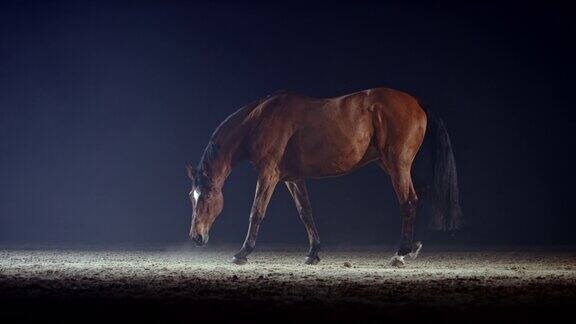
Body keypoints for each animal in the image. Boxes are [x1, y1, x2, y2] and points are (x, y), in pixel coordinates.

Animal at [187, 87, 462, 268]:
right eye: (192, 196)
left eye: (207, 196)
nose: (196, 238)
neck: (260, 119)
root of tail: (416, 101)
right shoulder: (292, 178)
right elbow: (305, 213)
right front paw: (313, 252)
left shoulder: (268, 174)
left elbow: (257, 212)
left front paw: (243, 252)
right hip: (394, 166)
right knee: (421, 195)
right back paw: (413, 247)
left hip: (397, 166)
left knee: (408, 202)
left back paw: (401, 253)